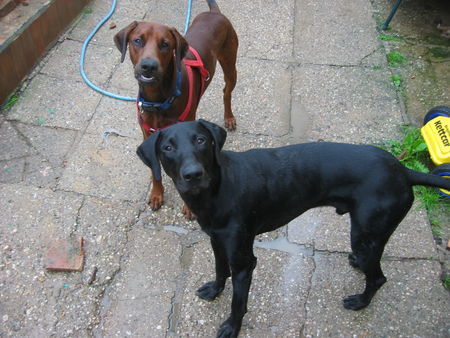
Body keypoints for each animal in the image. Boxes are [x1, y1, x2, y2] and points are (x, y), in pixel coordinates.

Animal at [114, 0, 237, 217]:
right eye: (137, 41)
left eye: (165, 44)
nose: (148, 66)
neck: (158, 100)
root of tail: (215, 13)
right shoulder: (147, 133)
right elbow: (155, 171)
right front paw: (156, 194)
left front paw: (190, 207)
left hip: (231, 64)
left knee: (226, 91)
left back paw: (229, 117)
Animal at [136, 120, 450, 336]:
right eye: (167, 148)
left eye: (201, 140)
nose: (193, 174)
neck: (217, 189)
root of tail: (403, 171)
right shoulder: (217, 242)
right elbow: (219, 270)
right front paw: (215, 290)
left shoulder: (245, 262)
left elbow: (238, 303)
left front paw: (231, 327)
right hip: (367, 237)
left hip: (364, 234)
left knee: (379, 278)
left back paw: (361, 301)